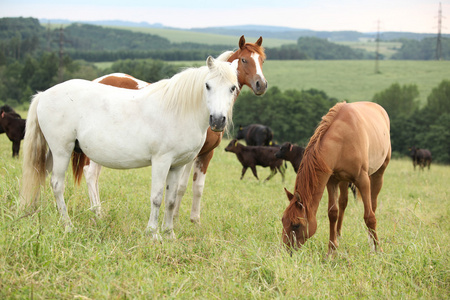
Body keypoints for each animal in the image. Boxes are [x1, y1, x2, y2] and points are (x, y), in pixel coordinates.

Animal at [20, 56, 239, 239]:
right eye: (207, 85)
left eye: (233, 88)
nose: (218, 120)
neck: (178, 110)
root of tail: (44, 94)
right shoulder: (161, 161)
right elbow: (157, 197)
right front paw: (153, 234)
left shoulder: (176, 166)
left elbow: (170, 200)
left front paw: (169, 234)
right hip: (61, 151)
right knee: (57, 185)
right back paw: (68, 226)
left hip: (51, 153)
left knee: (39, 175)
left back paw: (34, 214)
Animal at [71, 35, 266, 223]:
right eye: (244, 59)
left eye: (262, 60)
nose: (261, 85)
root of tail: (97, 80)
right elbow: (180, 186)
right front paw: (175, 218)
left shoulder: (204, 153)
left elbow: (197, 187)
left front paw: (194, 221)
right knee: (91, 173)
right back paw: (98, 213)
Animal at [282, 101, 390, 255]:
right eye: (282, 220)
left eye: (296, 225)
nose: (287, 251)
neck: (342, 140)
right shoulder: (332, 181)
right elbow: (333, 213)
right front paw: (331, 251)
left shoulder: (362, 180)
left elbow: (369, 217)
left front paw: (378, 249)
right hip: (343, 181)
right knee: (343, 203)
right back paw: (339, 235)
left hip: (378, 173)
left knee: (373, 205)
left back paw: (371, 240)